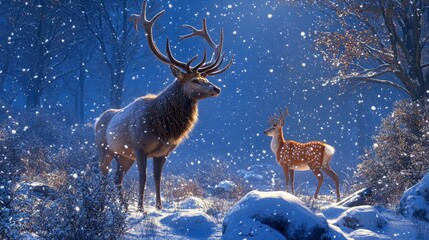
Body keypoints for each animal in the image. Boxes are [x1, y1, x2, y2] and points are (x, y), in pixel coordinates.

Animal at [95, 0, 232, 212]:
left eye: (205, 78)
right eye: (194, 80)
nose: (216, 88)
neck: (162, 126)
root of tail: (96, 120)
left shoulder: (163, 153)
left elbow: (158, 179)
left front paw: (159, 207)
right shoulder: (140, 147)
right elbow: (143, 178)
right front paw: (141, 208)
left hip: (124, 156)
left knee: (117, 178)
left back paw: (123, 207)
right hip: (104, 148)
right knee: (102, 174)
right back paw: (103, 204)